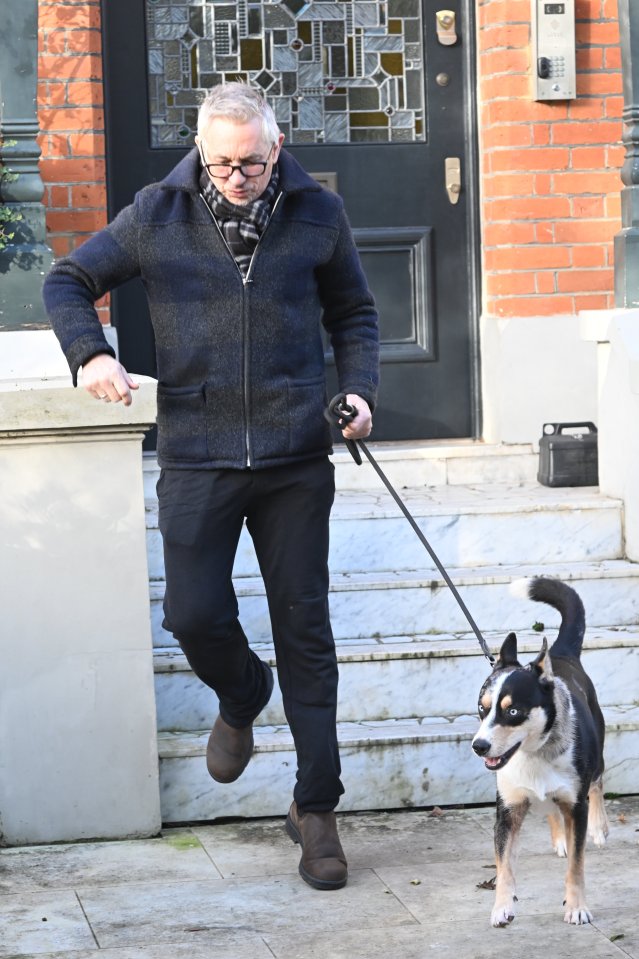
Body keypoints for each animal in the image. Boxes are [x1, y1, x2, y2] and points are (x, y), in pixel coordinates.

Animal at [472, 576, 608, 928]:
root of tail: (559, 653)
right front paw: (502, 908)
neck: (535, 754)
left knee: (597, 784)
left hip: (596, 758)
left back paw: (599, 828)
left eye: (514, 712)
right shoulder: (507, 811)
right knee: (551, 808)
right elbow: (504, 866)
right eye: (482, 708)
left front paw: (577, 907)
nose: (479, 747)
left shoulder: (576, 805)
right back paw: (560, 837)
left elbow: (577, 865)